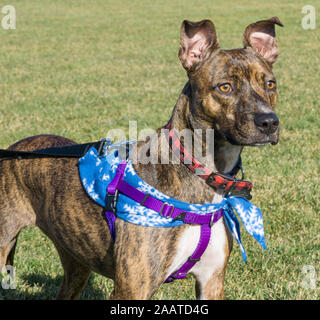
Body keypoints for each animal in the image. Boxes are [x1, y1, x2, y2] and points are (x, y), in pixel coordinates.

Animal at [0, 16, 282, 300]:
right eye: (225, 87)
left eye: (270, 84)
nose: (269, 122)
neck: (199, 170)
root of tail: (14, 148)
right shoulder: (132, 288)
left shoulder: (211, 281)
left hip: (76, 260)